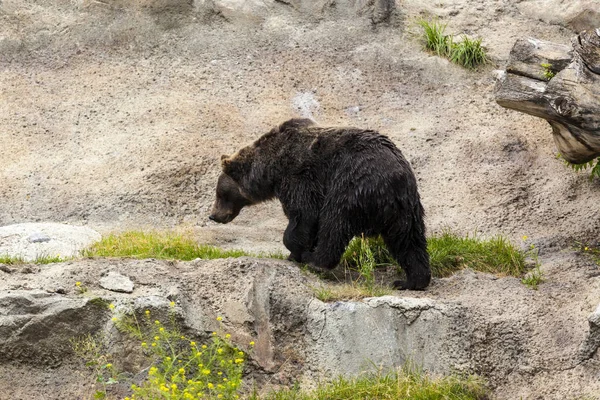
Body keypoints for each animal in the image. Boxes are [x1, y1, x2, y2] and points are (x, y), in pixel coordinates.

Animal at [210, 117, 432, 290]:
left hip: (351, 187)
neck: (271, 168)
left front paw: (297, 252)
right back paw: (411, 281)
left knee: (335, 224)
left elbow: (303, 215)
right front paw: (296, 253)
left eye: (219, 193)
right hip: (406, 207)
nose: (213, 215)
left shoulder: (299, 176)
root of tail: (394, 178)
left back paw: (316, 261)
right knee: (408, 239)